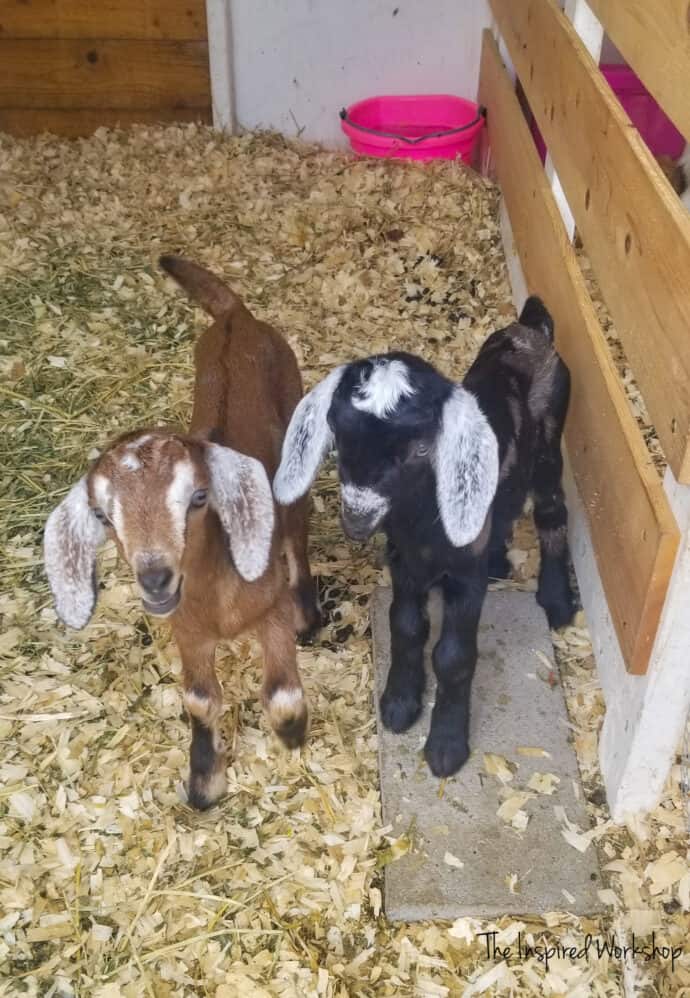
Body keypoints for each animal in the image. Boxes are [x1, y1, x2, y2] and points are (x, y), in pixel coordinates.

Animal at [44, 258, 318, 812]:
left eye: (198, 497)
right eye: (102, 515)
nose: (155, 579)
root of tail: (236, 316)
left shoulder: (270, 608)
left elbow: (281, 694)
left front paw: (292, 734)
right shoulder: (186, 629)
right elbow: (199, 700)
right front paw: (204, 781)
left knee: (296, 533)